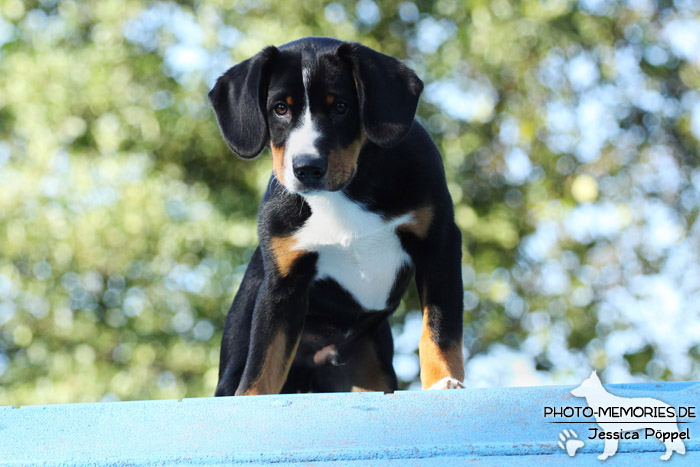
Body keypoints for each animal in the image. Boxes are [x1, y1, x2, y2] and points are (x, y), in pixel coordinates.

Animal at [211, 37, 468, 394]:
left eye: (341, 107)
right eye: (280, 108)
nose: (307, 167)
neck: (346, 192)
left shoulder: (439, 242)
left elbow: (440, 328)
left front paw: (443, 380)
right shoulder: (283, 286)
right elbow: (261, 366)